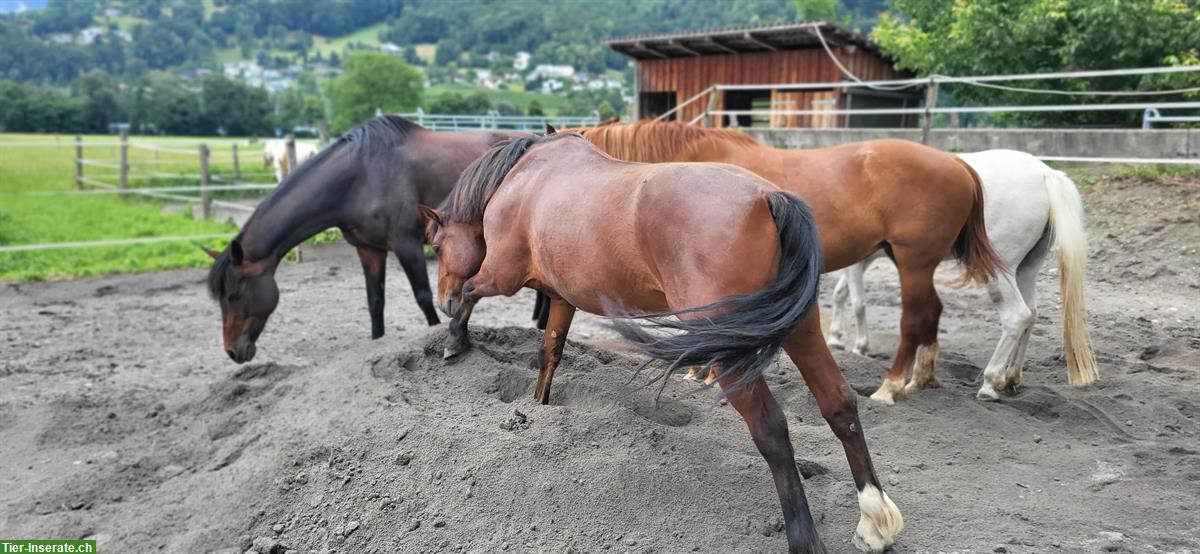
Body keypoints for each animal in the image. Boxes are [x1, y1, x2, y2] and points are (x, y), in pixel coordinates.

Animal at [206, 115, 526, 363]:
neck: (359, 178)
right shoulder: (368, 249)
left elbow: (423, 297)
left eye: (233, 295)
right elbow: (375, 301)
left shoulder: (407, 245)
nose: (233, 351)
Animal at [420, 132, 903, 553]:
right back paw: (873, 520)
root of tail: (768, 198)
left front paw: (454, 341)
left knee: (771, 429)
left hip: (734, 352)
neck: (525, 176)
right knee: (839, 405)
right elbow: (550, 353)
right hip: (802, 329)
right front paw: (538, 407)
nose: (441, 300)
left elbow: (473, 293)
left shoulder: (500, 275)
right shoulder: (560, 299)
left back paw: (805, 538)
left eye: (438, 246)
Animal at [571, 120, 1006, 404]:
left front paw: (704, 374)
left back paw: (891, 386)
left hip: (913, 262)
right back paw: (922, 378)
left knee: (914, 318)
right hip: (913, 263)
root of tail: (956, 162)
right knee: (932, 311)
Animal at [826, 150, 1097, 400]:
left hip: (1000, 270)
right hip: (1026, 268)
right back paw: (1010, 378)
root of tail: (1044, 173)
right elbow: (840, 294)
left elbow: (858, 302)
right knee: (1031, 314)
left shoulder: (858, 262)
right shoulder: (864, 260)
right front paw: (836, 338)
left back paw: (989, 383)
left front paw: (859, 347)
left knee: (1016, 316)